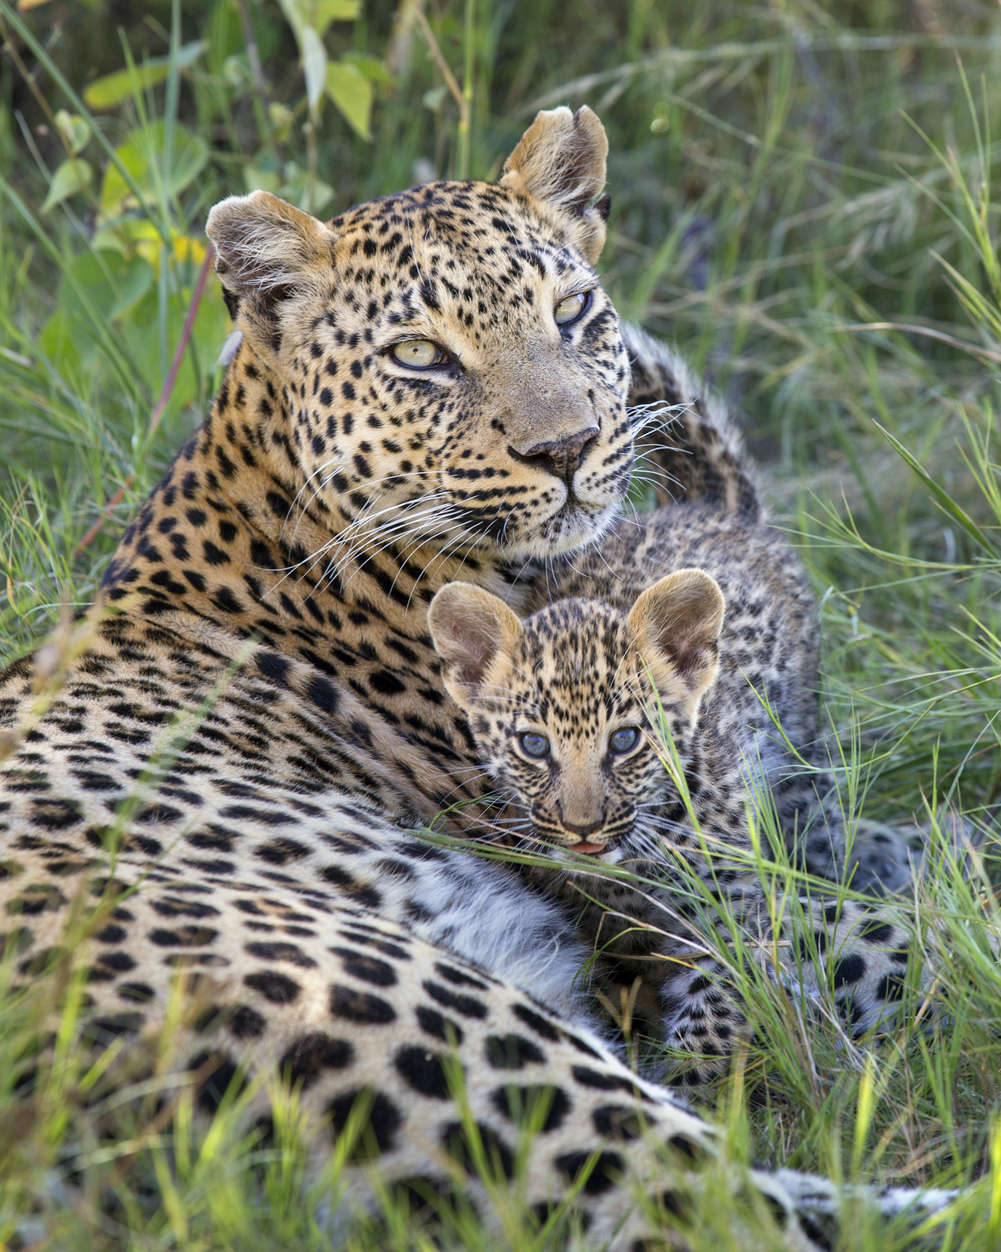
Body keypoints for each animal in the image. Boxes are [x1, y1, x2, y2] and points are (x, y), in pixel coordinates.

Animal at [0, 110, 955, 1252]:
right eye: (420, 357)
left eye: (570, 312)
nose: (569, 447)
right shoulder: (652, 876)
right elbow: (904, 931)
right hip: (428, 1012)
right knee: (723, 1201)